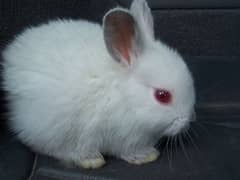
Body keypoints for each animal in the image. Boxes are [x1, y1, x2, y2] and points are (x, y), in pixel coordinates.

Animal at [1, 0, 195, 169]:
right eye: (162, 96)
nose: (187, 122)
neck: (125, 95)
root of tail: (11, 59)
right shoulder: (123, 136)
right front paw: (146, 155)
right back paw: (90, 159)